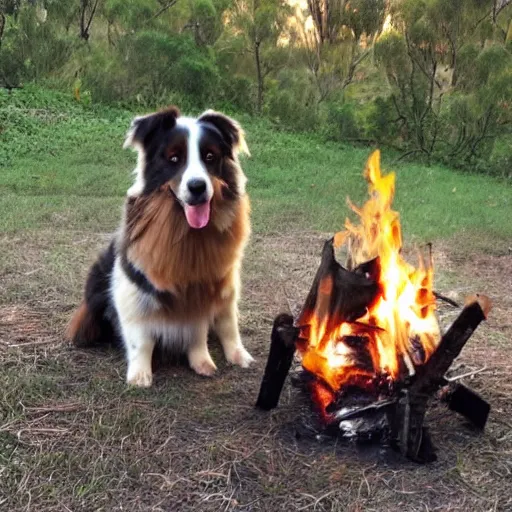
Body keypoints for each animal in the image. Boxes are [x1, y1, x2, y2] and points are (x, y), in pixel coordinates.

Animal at [66, 109, 254, 388]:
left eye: (210, 157)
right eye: (174, 158)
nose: (197, 187)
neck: (185, 231)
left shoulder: (209, 285)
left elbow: (200, 330)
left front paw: (202, 362)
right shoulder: (133, 288)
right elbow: (141, 339)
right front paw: (140, 375)